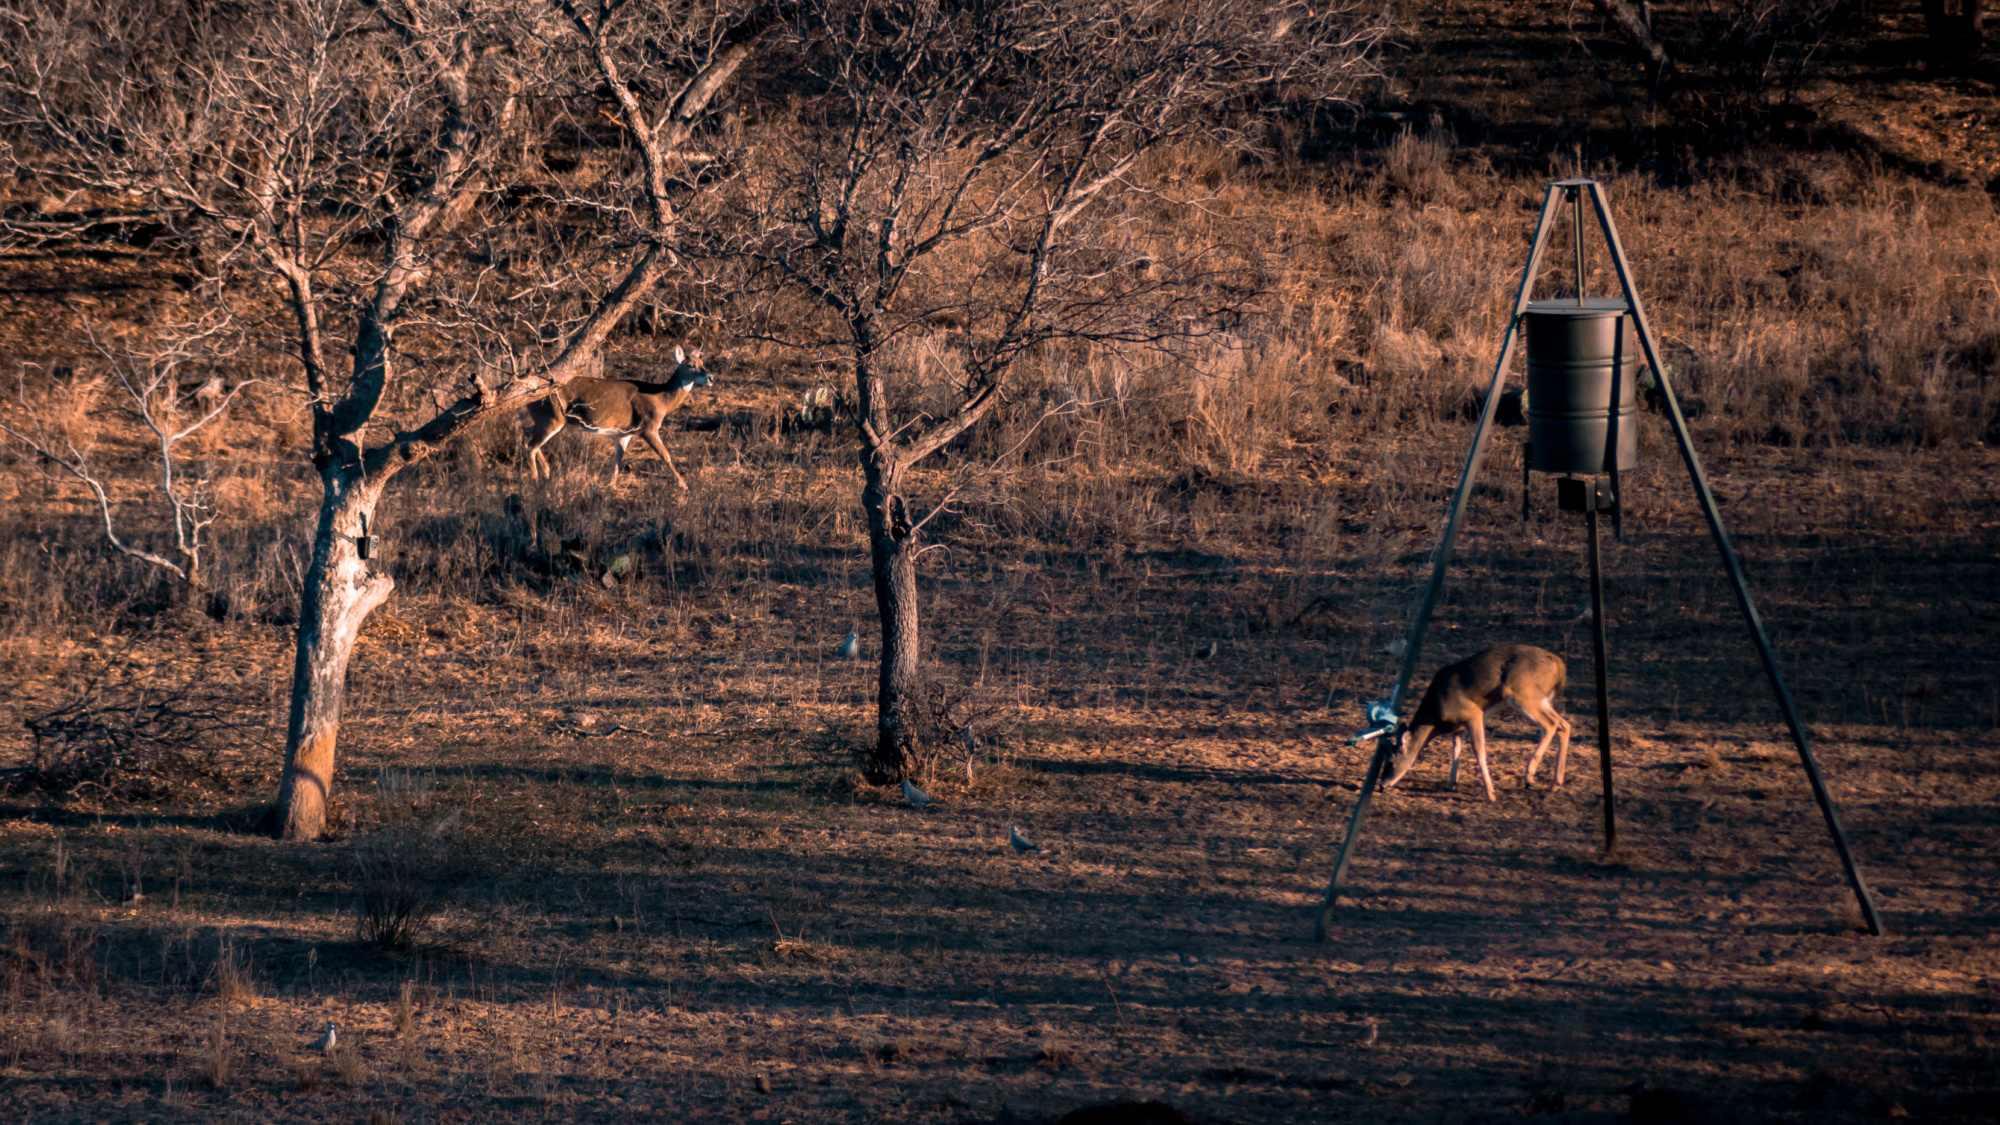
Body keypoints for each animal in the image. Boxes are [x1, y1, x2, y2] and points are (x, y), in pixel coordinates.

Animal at [528, 342, 716, 482]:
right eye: (691, 365)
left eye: (703, 363)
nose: (711, 378)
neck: (661, 400)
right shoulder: (649, 428)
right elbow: (666, 455)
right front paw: (684, 485)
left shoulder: (625, 432)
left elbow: (618, 459)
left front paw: (610, 485)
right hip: (551, 418)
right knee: (530, 446)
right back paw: (536, 479)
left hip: (547, 420)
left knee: (534, 444)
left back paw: (547, 472)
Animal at [1384, 640, 1568, 796]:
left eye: (1390, 762)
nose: (1382, 785)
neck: (1436, 716)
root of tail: (1559, 665)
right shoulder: (1459, 729)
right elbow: (1456, 751)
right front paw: (1451, 784)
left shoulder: (1472, 713)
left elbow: (1478, 750)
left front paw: (1490, 793)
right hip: (1541, 699)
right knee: (1564, 725)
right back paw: (1555, 784)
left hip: (1520, 694)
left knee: (1550, 724)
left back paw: (1530, 775)